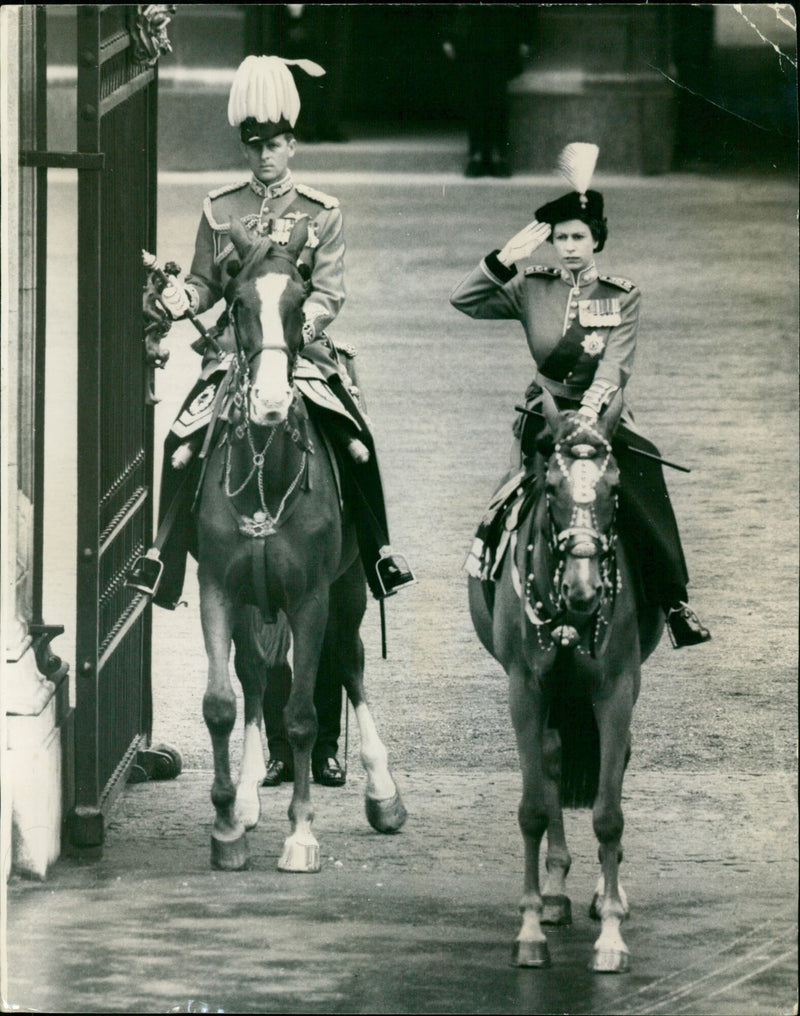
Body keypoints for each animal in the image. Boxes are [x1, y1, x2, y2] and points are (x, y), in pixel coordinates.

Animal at [195, 216, 406, 873]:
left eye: (298, 300)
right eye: (237, 303)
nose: (268, 403)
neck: (265, 466)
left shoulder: (311, 595)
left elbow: (305, 715)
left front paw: (302, 835)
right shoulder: (218, 588)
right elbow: (223, 702)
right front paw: (227, 828)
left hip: (349, 588)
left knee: (350, 662)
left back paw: (382, 794)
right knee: (258, 674)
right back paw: (247, 795)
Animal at [469, 392, 662, 971]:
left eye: (615, 487)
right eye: (552, 487)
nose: (584, 589)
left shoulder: (616, 689)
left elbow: (609, 813)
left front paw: (612, 936)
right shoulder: (526, 690)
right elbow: (533, 809)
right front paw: (531, 929)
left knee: (608, 765)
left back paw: (604, 893)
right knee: (553, 761)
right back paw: (555, 893)